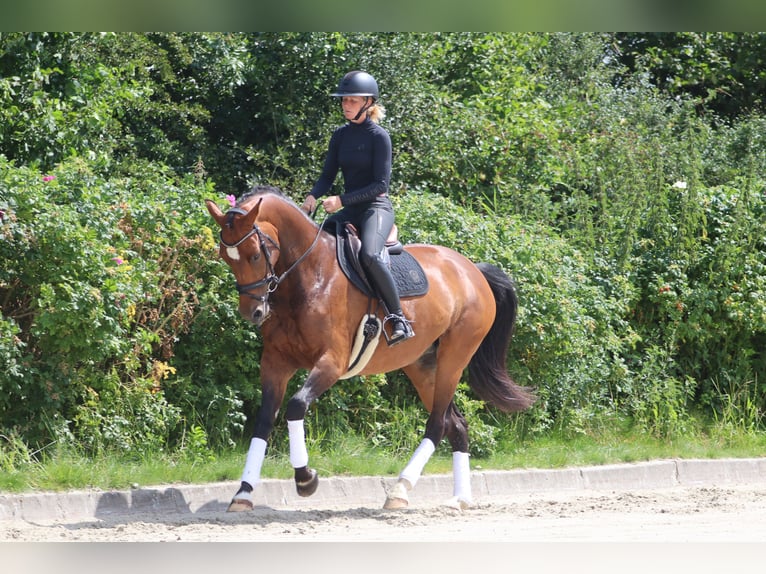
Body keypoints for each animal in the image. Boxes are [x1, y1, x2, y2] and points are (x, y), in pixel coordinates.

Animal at [207, 187, 536, 510]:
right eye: (226, 256)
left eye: (253, 255)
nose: (253, 313)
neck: (310, 275)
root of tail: (472, 269)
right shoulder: (276, 362)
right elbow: (264, 419)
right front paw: (244, 492)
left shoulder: (332, 362)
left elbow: (296, 406)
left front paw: (305, 479)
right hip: (423, 364)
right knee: (456, 424)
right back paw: (459, 497)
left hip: (454, 358)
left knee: (437, 424)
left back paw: (400, 491)